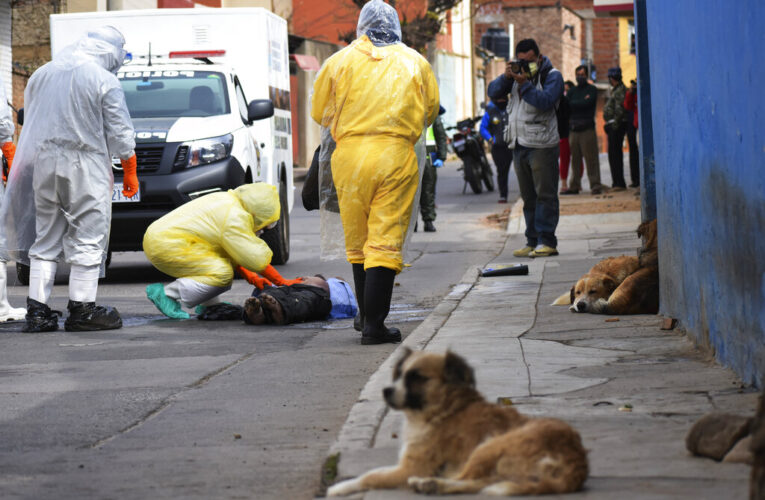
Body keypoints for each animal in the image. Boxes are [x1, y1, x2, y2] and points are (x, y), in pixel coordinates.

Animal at [326, 348, 588, 496]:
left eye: (417, 377)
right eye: (399, 374)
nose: (386, 391)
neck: (445, 408)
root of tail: (575, 461)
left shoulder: (412, 467)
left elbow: (370, 476)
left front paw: (339, 488)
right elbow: (373, 471)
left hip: (489, 445)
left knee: (466, 479)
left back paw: (431, 483)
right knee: (475, 483)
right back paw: (432, 485)